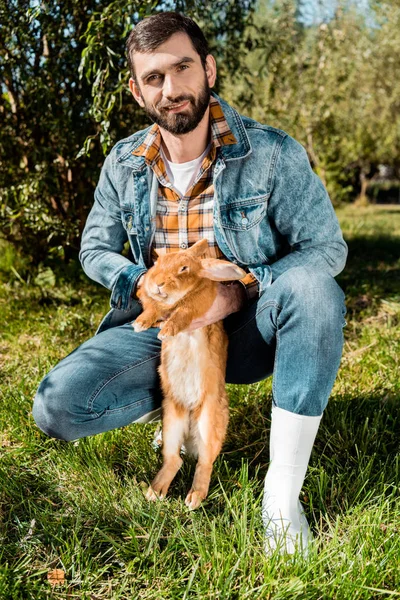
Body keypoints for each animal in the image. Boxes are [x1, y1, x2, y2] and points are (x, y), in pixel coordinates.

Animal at [134, 237, 245, 508]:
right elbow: (152, 307)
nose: (157, 284)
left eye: (184, 268)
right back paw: (155, 492)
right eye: (157, 263)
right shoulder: (151, 300)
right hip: (171, 423)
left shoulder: (200, 301)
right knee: (174, 460)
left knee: (204, 463)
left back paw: (193, 499)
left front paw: (167, 331)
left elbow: (183, 312)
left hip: (209, 422)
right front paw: (141, 323)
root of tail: (190, 415)